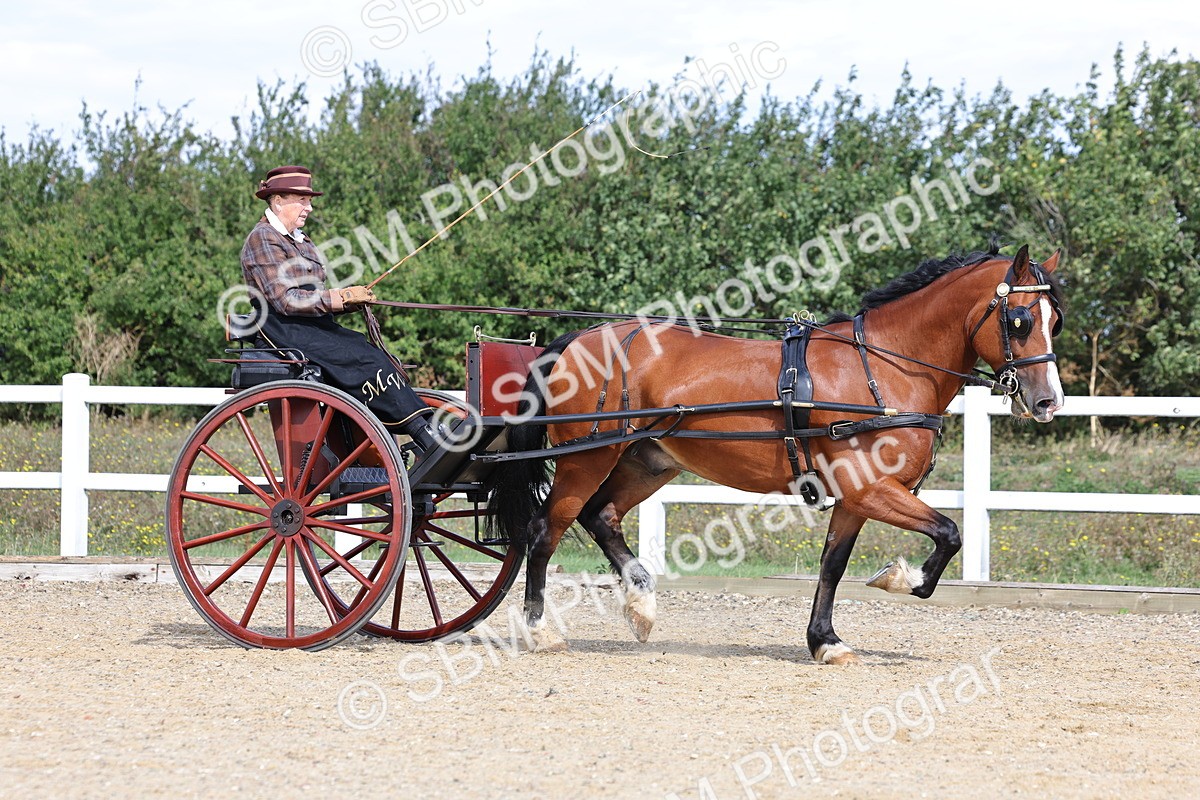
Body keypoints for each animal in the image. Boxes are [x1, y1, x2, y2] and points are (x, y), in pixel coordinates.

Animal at [487, 243, 1064, 664]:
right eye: (1018, 319)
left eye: (1054, 319)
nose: (1048, 402)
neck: (886, 368)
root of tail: (581, 339)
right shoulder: (871, 488)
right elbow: (949, 532)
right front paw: (902, 578)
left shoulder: (855, 498)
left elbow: (833, 565)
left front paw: (825, 641)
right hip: (585, 458)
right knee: (546, 531)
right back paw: (540, 631)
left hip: (645, 461)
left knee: (601, 516)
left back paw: (642, 605)